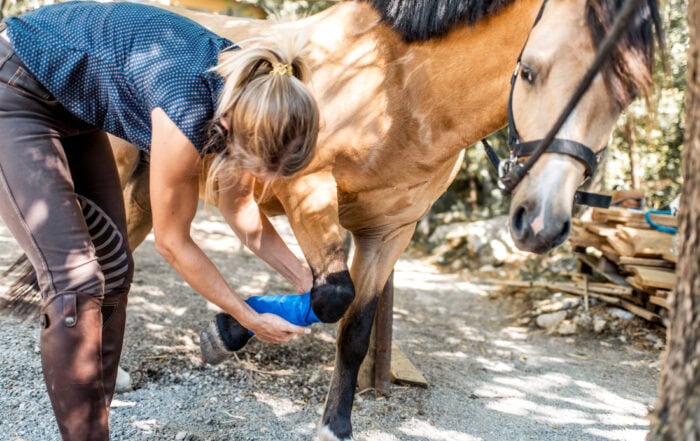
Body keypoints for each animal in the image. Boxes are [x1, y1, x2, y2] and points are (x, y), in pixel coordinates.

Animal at [7, 0, 661, 438]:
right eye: (530, 72)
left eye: (626, 94)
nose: (539, 223)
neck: (395, 87)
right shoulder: (307, 189)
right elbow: (330, 296)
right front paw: (227, 333)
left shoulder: (390, 231)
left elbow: (354, 326)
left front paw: (336, 422)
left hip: (143, 194)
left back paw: (114, 381)